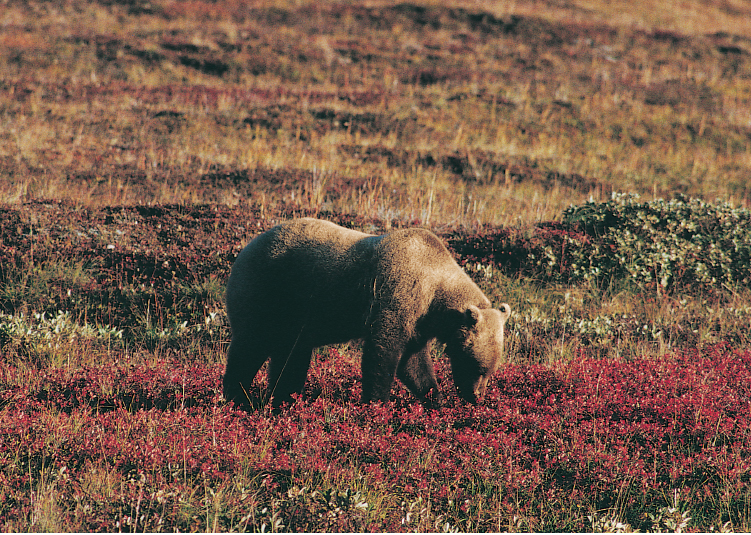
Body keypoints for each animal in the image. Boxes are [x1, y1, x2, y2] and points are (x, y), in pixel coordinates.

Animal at [223, 218, 516, 410]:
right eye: (476, 365)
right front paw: (376, 405)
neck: (435, 289)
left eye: (492, 369)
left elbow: (413, 362)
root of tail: (246, 247)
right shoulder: (396, 295)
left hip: (296, 315)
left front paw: (435, 401)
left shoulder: (419, 321)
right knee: (250, 345)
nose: (476, 396)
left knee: (291, 356)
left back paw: (284, 398)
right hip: (267, 290)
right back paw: (237, 398)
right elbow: (384, 351)